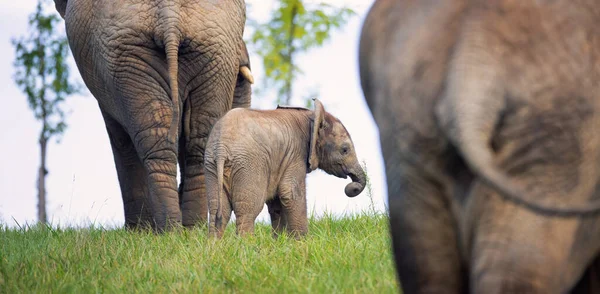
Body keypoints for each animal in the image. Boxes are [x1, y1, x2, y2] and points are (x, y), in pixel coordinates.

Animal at [52, 0, 254, 232]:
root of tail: (170, 14)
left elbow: (121, 139)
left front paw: (138, 231)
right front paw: (141, 230)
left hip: (201, 46)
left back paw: (178, 229)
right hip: (144, 53)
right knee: (182, 140)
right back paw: (183, 229)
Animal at [205, 100, 366, 238]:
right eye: (345, 150)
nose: (351, 186)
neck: (312, 116)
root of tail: (221, 148)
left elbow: (276, 202)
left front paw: (280, 242)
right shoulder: (295, 153)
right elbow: (291, 193)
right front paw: (303, 243)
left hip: (212, 166)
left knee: (218, 210)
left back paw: (214, 248)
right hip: (249, 164)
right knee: (247, 210)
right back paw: (247, 246)